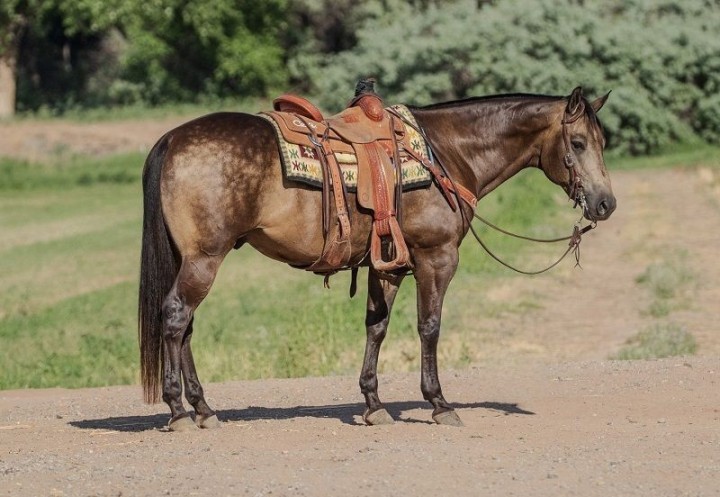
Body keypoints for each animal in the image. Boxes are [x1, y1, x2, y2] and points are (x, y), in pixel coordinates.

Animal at [138, 86, 616, 431]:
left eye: (602, 142)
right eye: (578, 143)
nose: (605, 203)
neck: (446, 152)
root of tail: (172, 138)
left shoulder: (390, 265)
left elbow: (377, 327)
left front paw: (373, 402)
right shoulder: (436, 259)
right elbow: (429, 328)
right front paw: (439, 403)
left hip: (192, 260)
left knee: (185, 327)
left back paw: (203, 408)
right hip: (204, 259)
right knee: (177, 317)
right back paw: (180, 411)